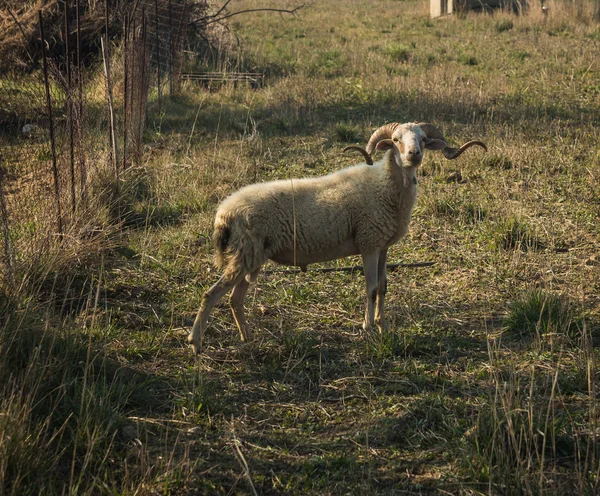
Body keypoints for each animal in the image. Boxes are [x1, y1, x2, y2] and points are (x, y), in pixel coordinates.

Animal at [189, 123, 488, 352]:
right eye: (395, 140)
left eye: (424, 139)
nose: (414, 155)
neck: (386, 186)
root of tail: (223, 213)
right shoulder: (368, 243)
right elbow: (370, 288)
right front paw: (368, 327)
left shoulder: (382, 246)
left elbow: (383, 288)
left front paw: (383, 326)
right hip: (246, 254)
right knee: (210, 295)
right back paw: (195, 343)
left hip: (251, 256)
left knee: (234, 300)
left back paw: (247, 338)